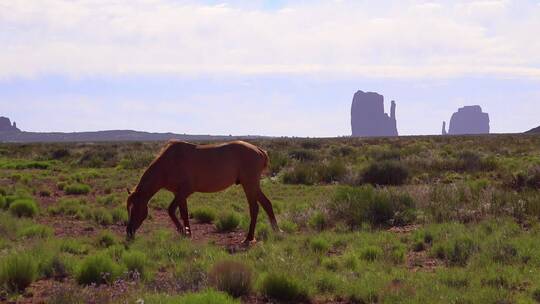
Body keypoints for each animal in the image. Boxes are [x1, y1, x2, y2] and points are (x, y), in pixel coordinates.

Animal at [125, 141, 280, 245]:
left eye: (136, 208)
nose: (129, 232)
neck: (168, 163)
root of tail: (259, 150)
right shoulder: (179, 194)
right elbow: (177, 212)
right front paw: (184, 232)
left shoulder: (184, 192)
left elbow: (177, 211)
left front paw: (186, 232)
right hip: (253, 186)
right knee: (267, 204)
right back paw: (277, 231)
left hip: (249, 185)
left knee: (255, 208)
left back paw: (249, 238)